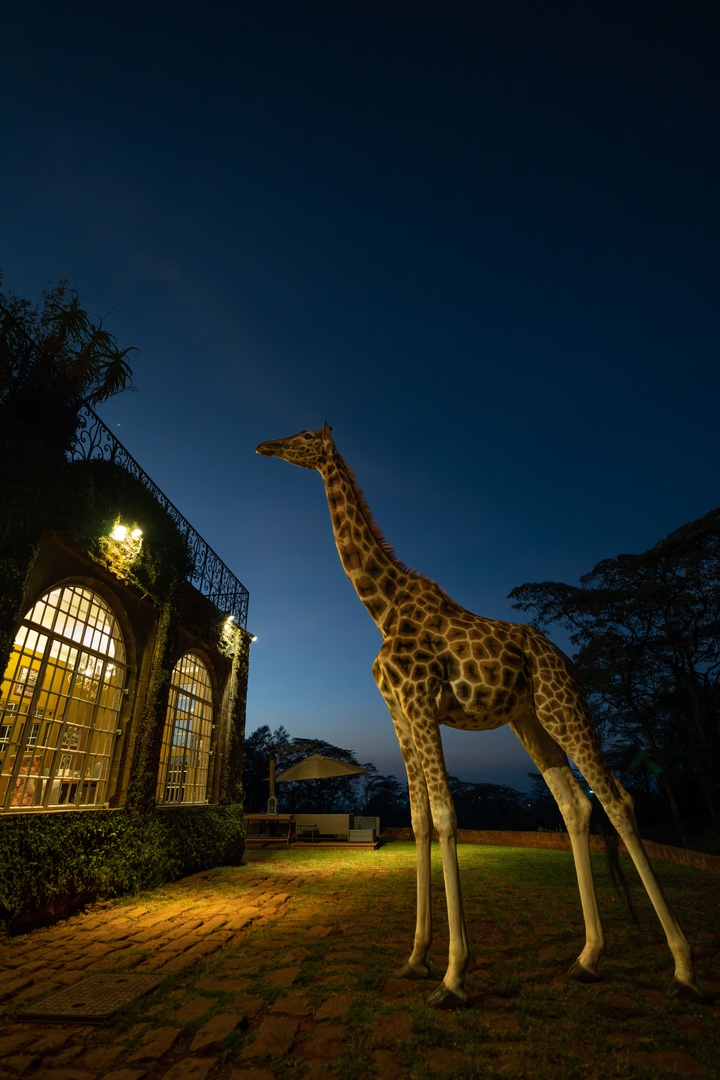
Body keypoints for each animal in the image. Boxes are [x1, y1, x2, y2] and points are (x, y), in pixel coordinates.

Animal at [256, 423, 701, 1008]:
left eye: (305, 435)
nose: (266, 446)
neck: (383, 609)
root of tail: (567, 662)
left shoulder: (421, 699)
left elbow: (446, 816)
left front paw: (452, 976)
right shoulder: (397, 710)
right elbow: (419, 820)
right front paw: (416, 959)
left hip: (562, 706)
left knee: (617, 799)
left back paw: (683, 968)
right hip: (528, 720)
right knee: (574, 804)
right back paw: (587, 958)